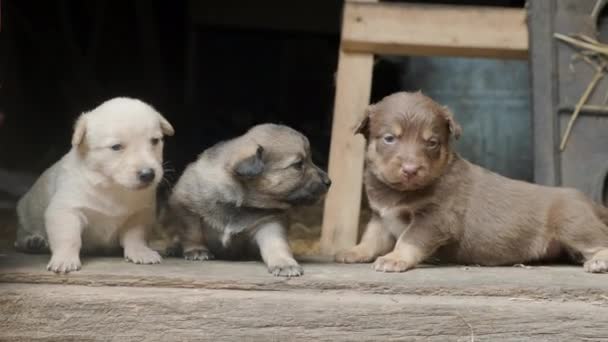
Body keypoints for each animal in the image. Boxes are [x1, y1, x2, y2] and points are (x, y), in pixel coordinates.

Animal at [14, 97, 175, 274]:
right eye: (116, 147)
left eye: (155, 141)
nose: (148, 174)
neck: (113, 186)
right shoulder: (66, 210)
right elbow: (68, 237)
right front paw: (65, 259)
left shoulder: (140, 213)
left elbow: (135, 235)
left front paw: (140, 252)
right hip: (25, 213)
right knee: (21, 234)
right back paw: (32, 241)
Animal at [162, 124, 330, 276]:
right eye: (298, 165)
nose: (329, 181)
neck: (239, 203)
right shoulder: (186, 206)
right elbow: (192, 232)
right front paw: (197, 250)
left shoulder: (268, 222)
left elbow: (276, 245)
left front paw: (284, 263)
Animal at [334, 91, 608, 272]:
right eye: (389, 138)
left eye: (432, 142)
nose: (411, 170)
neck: (396, 193)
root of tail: (591, 202)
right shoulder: (381, 216)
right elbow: (371, 238)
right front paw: (354, 251)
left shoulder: (435, 219)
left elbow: (410, 238)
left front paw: (395, 258)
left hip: (574, 224)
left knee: (601, 240)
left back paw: (598, 261)